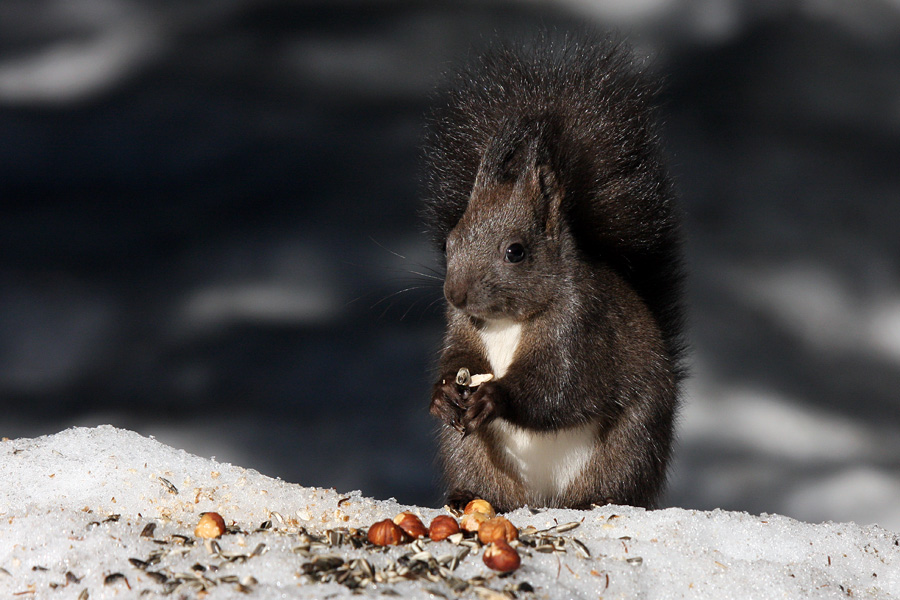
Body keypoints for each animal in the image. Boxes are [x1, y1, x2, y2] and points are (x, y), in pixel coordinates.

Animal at [420, 32, 684, 510]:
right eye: (450, 241)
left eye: (516, 252)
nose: (455, 294)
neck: (507, 322)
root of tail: (542, 501)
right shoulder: (462, 327)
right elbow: (458, 357)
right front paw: (443, 392)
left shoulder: (581, 328)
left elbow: (560, 388)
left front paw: (495, 397)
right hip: (468, 453)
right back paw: (468, 497)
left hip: (631, 447)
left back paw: (593, 502)